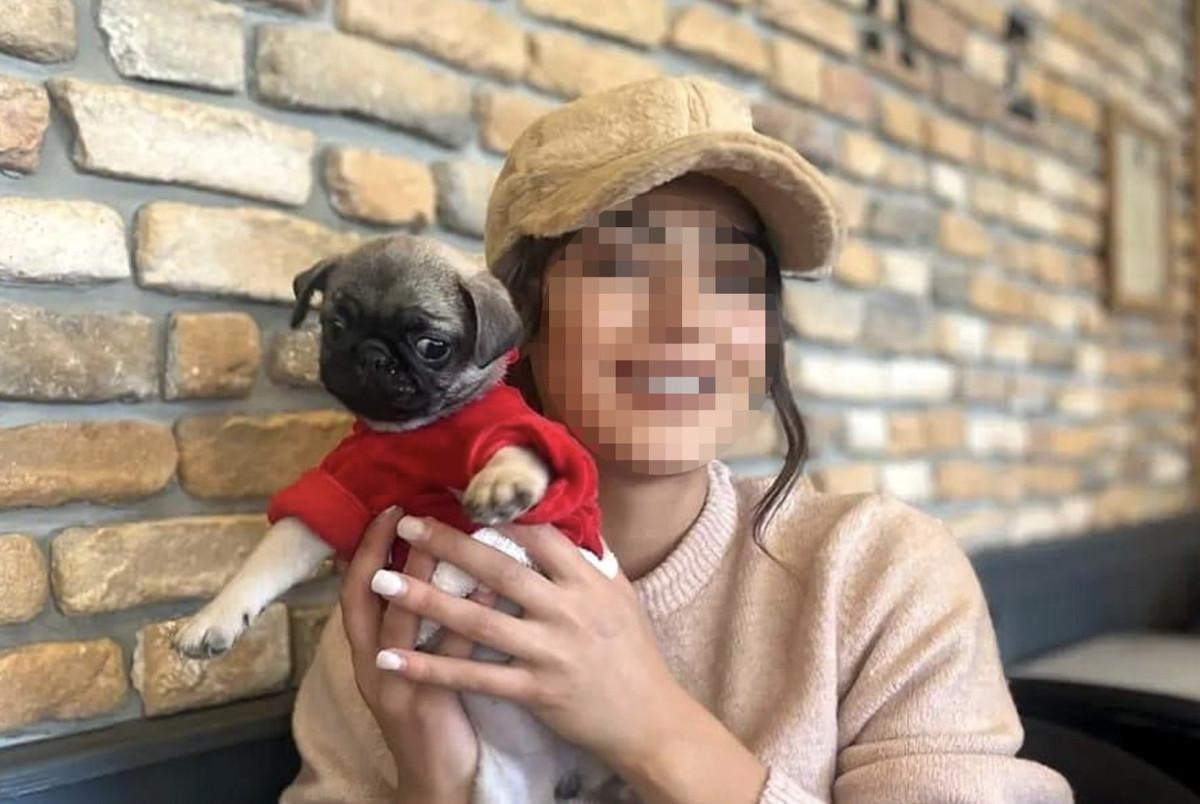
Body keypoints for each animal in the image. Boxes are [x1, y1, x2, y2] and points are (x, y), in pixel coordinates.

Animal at [172, 233, 619, 803]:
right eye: (337, 324)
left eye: (432, 345)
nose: (371, 354)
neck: (412, 435)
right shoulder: (340, 489)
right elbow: (267, 559)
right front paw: (215, 617)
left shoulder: (518, 432)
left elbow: (526, 447)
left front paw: (504, 484)